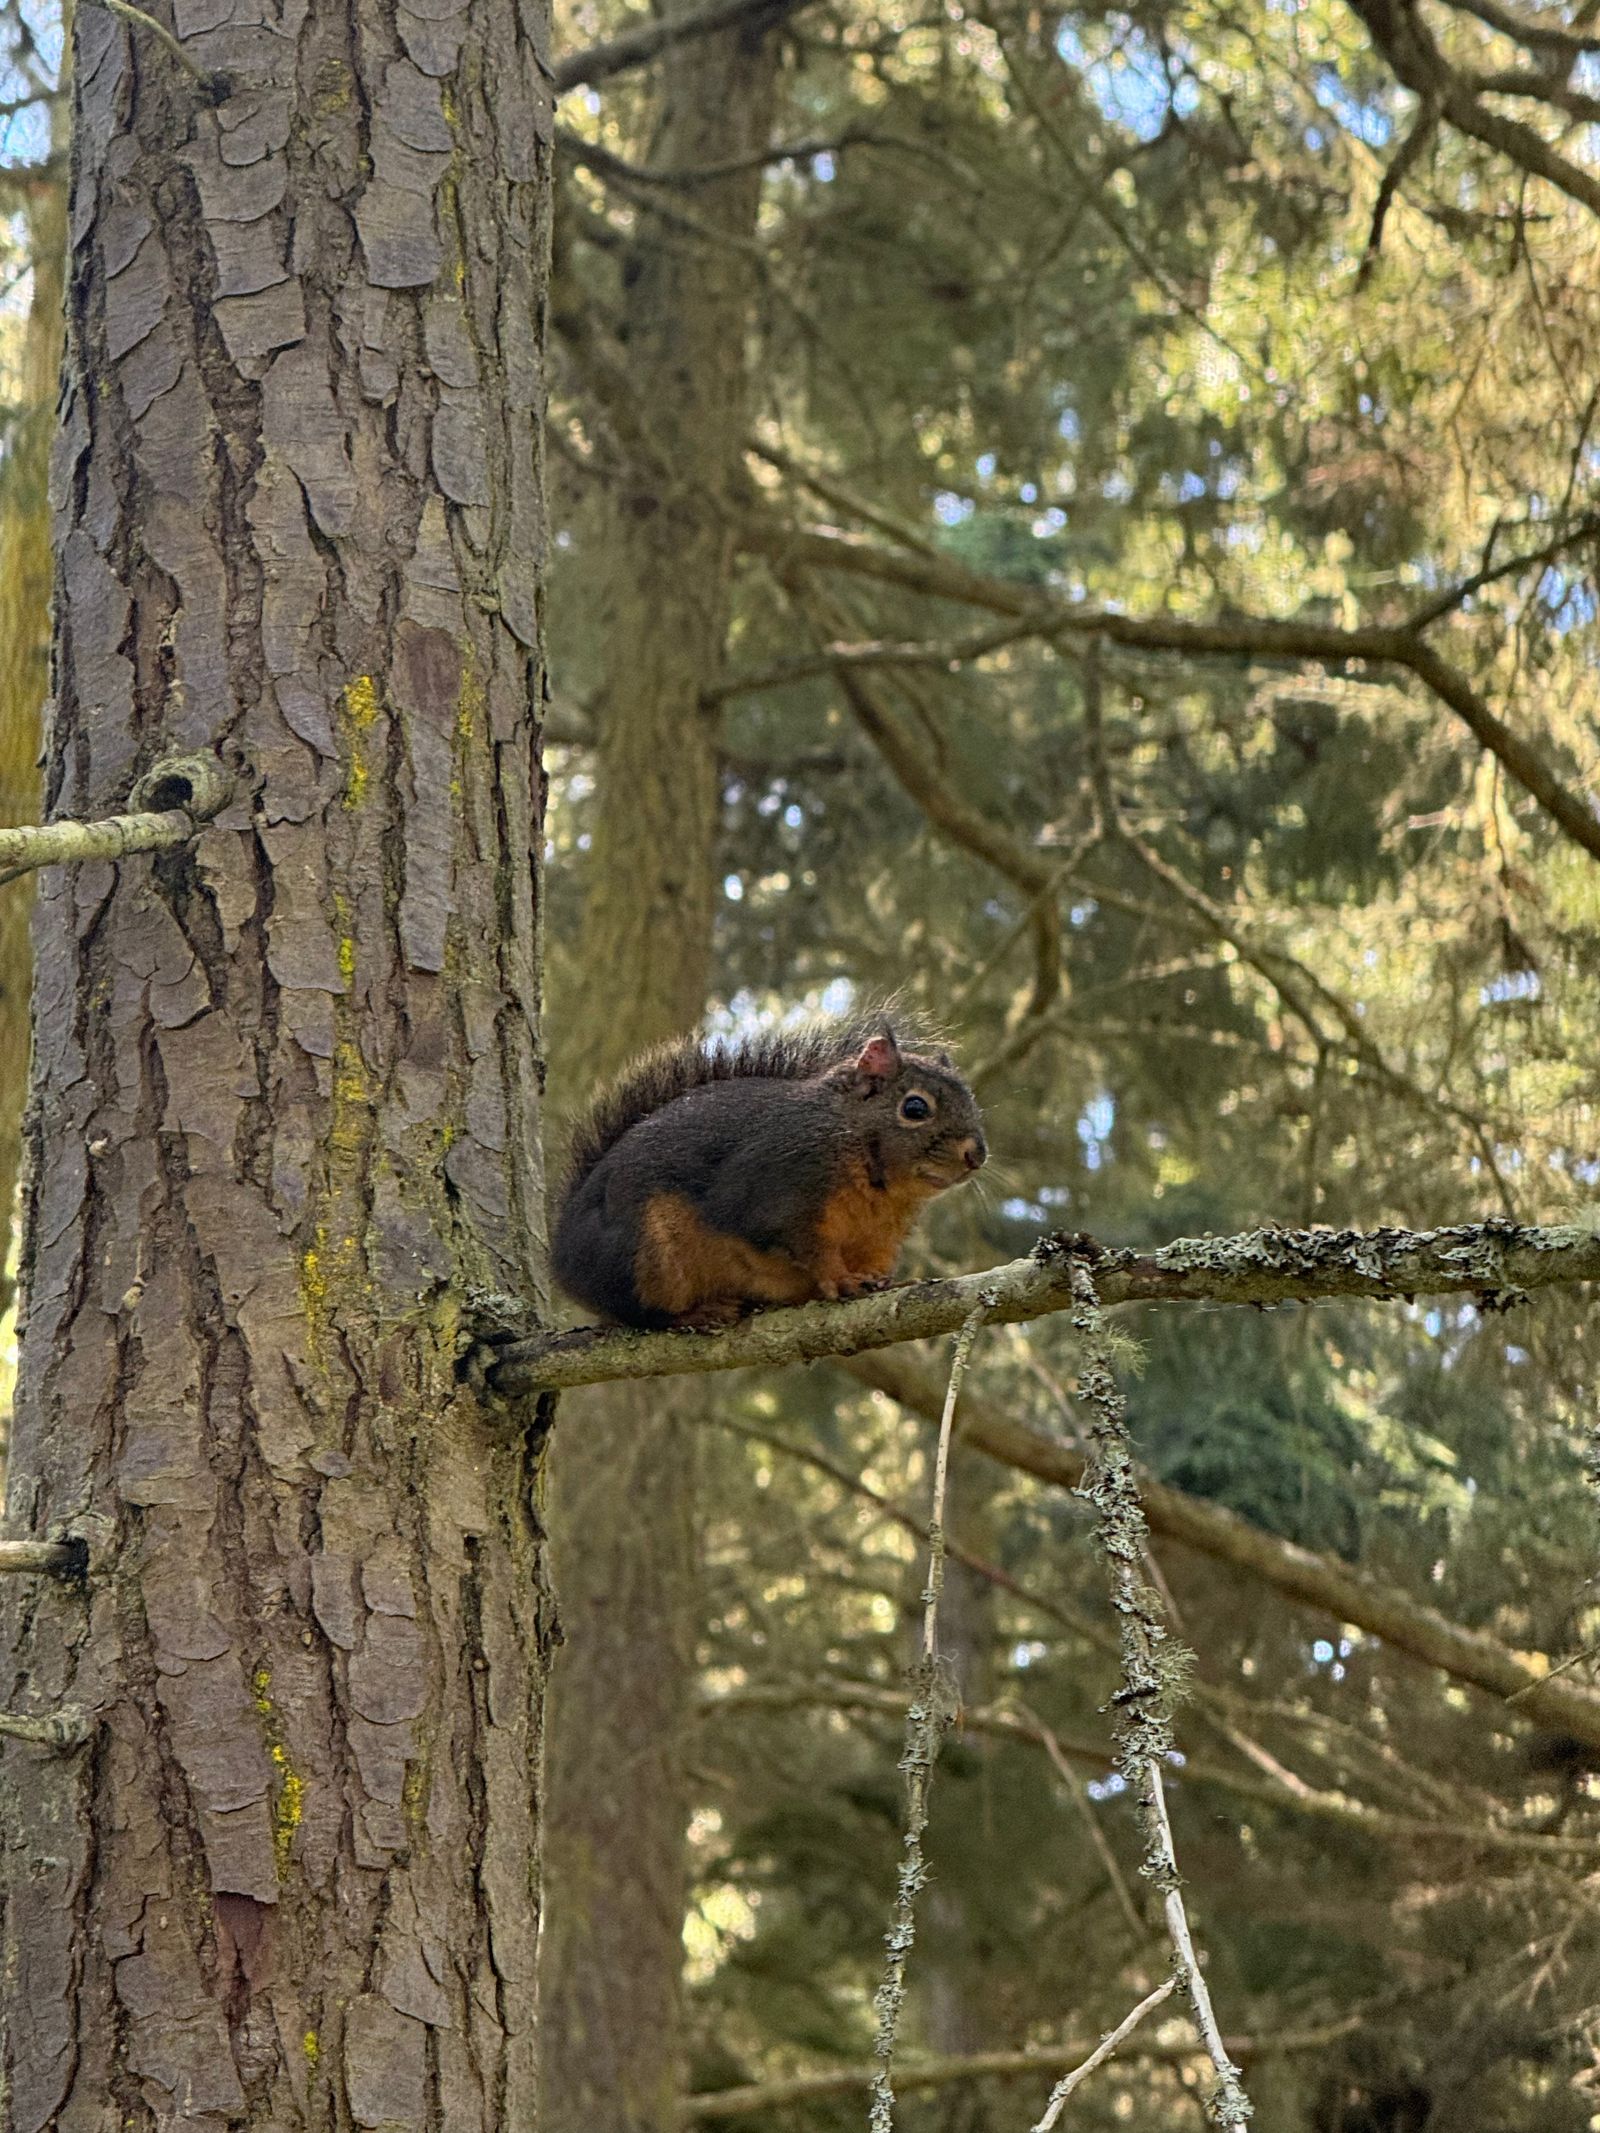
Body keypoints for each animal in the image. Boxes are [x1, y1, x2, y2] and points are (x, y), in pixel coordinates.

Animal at [551, 1015, 987, 1329]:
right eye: (915, 1108)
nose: (977, 1155)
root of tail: (563, 1258)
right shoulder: (780, 1185)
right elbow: (802, 1243)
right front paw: (841, 1278)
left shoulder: (879, 1240)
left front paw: (886, 1282)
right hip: (642, 1254)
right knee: (638, 1314)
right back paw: (699, 1313)